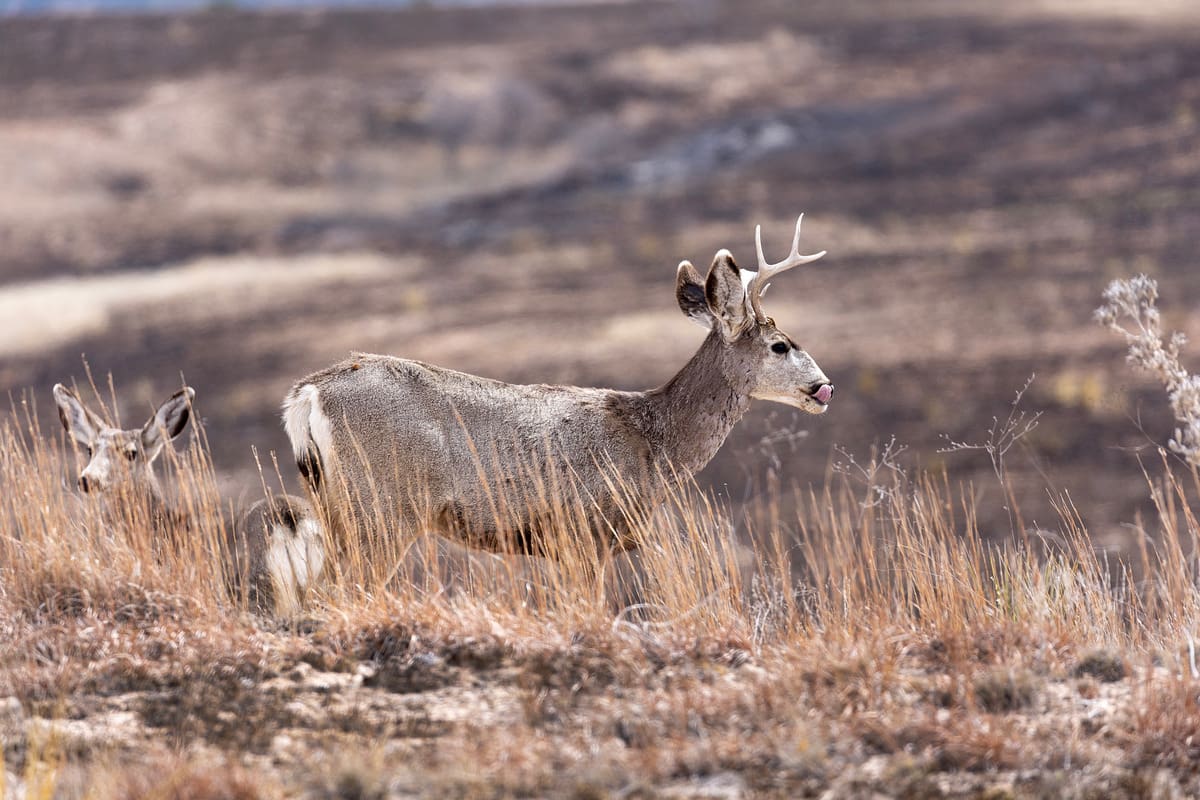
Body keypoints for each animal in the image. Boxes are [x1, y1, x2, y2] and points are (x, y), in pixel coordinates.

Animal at [283, 214, 835, 563]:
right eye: (780, 345)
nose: (824, 387)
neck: (652, 442)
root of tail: (308, 395)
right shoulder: (586, 529)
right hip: (383, 507)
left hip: (334, 504)